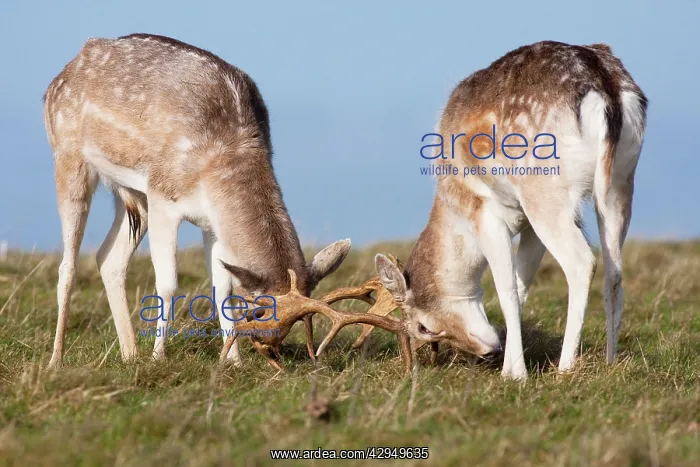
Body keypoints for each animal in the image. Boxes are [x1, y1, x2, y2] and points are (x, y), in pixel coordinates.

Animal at [43, 33, 357, 368]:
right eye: (260, 309)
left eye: (298, 321)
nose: (270, 349)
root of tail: (57, 80)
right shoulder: (163, 196)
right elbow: (168, 283)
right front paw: (159, 358)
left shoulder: (212, 224)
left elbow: (223, 290)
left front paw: (232, 362)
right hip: (69, 159)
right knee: (67, 265)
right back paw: (56, 360)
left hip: (133, 196)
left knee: (108, 258)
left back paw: (130, 355)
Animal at [373, 41, 647, 379]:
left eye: (423, 327)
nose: (487, 352)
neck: (452, 209)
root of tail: (603, 86)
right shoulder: (528, 224)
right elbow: (522, 283)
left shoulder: (484, 212)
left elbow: (506, 288)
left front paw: (514, 374)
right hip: (620, 183)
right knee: (615, 270)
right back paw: (610, 363)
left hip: (544, 192)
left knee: (582, 262)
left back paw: (565, 368)